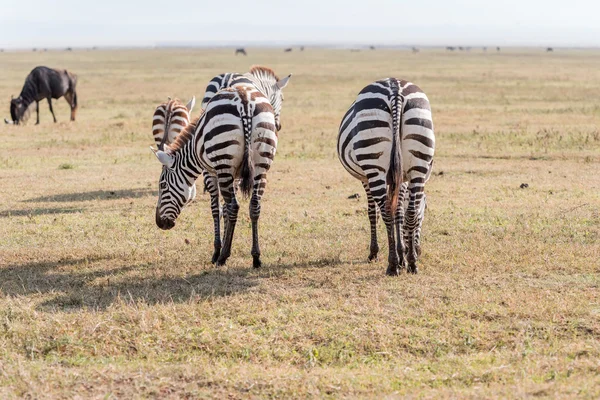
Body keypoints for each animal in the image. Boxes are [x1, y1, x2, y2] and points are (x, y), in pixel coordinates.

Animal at [154, 87, 278, 268]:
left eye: (163, 185)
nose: (159, 223)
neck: (193, 152)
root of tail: (244, 100)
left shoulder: (211, 173)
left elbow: (216, 209)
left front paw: (217, 251)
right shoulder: (233, 175)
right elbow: (225, 209)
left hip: (224, 157)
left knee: (234, 207)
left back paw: (222, 257)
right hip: (261, 164)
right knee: (254, 206)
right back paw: (256, 257)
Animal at [338, 78, 436, 276]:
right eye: (424, 216)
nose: (419, 250)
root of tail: (395, 89)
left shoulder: (366, 178)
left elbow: (373, 213)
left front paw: (376, 253)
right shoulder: (402, 178)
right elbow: (400, 212)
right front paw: (404, 255)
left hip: (373, 164)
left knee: (385, 212)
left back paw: (392, 265)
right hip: (419, 161)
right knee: (410, 211)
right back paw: (412, 263)